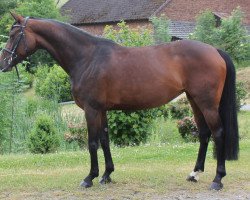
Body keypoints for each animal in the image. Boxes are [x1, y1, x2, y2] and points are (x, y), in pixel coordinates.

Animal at [0, 13, 238, 191]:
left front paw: (89, 178)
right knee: (204, 134)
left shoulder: (91, 110)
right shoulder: (101, 110)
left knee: (218, 133)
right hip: (194, 100)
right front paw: (107, 175)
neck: (87, 57)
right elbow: (105, 140)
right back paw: (194, 174)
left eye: (13, 34)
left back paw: (217, 180)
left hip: (207, 103)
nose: (3, 63)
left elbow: (92, 143)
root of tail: (214, 50)